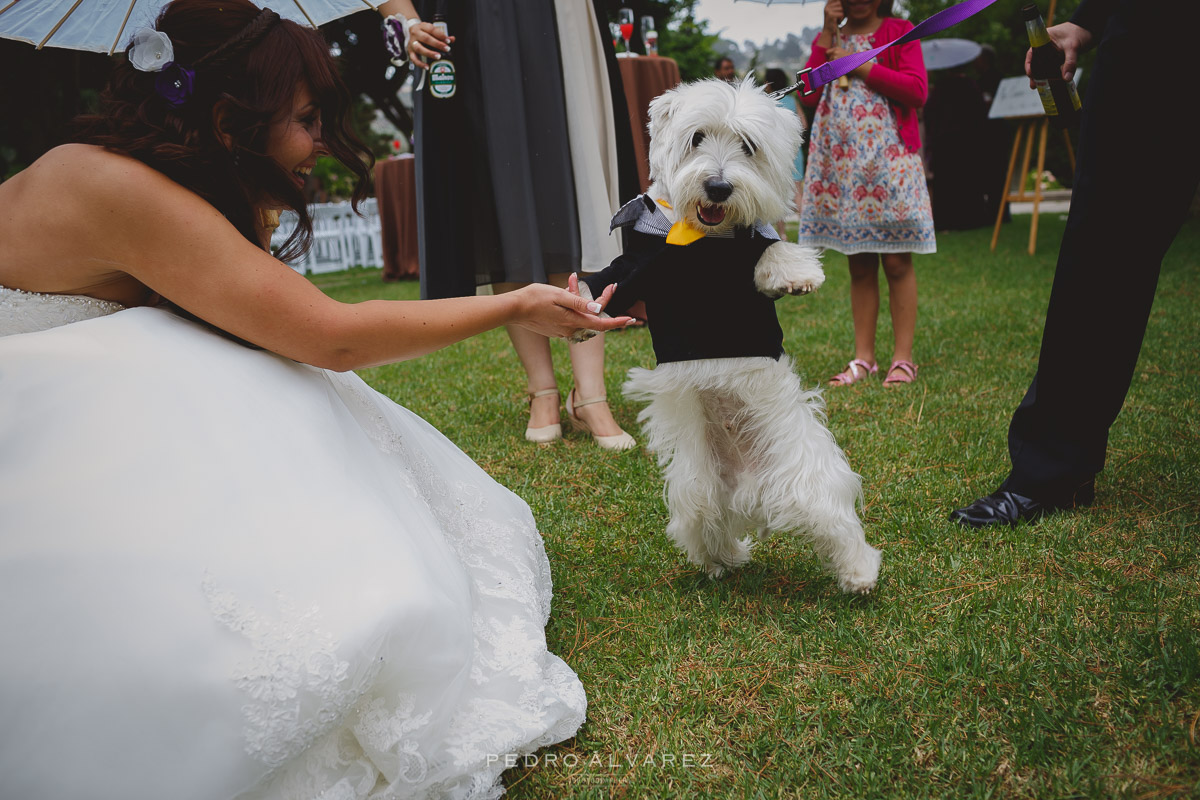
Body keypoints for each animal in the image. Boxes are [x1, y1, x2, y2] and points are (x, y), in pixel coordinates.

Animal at [580, 79, 883, 594]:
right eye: (696, 137)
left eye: (748, 146)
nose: (718, 186)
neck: (702, 242)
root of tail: (753, 490)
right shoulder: (639, 269)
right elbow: (609, 283)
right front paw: (576, 306)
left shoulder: (753, 249)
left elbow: (773, 250)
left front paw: (799, 276)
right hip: (696, 487)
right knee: (707, 527)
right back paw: (727, 559)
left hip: (806, 475)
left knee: (836, 523)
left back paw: (860, 574)